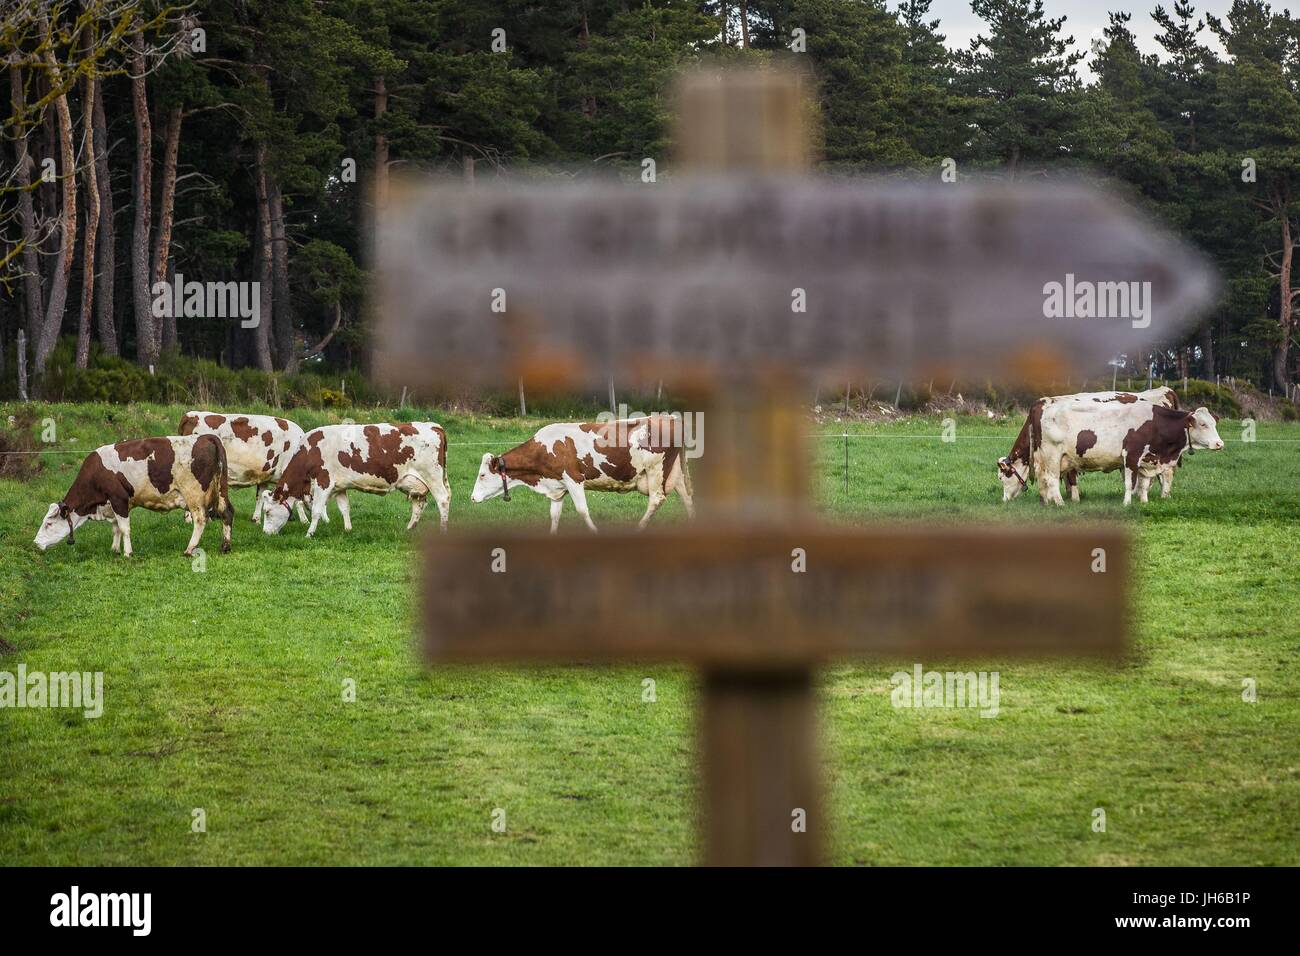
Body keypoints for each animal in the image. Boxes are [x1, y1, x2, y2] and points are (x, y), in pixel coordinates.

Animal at [33, 434, 233, 561]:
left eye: (48, 523)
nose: (35, 543)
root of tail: (206, 437)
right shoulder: (113, 504)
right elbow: (116, 528)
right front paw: (114, 549)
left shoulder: (118, 499)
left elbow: (124, 528)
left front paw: (128, 553)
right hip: (221, 490)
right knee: (227, 512)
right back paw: (225, 546)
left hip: (194, 495)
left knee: (200, 519)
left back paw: (189, 549)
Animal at [261, 421, 449, 535]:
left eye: (268, 512)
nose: (265, 533)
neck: (310, 452)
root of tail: (433, 426)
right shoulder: (340, 486)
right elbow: (344, 508)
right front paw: (348, 529)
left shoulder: (323, 482)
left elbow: (316, 510)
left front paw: (309, 533)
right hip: (416, 483)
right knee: (419, 504)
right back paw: (409, 528)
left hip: (432, 476)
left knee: (443, 500)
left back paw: (443, 529)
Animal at [465, 416, 691, 535]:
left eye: (482, 474)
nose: (472, 498)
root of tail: (669, 417)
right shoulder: (557, 486)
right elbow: (554, 515)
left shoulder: (573, 479)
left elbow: (582, 511)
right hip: (675, 472)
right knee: (687, 497)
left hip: (656, 470)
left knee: (656, 499)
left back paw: (639, 528)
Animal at [993, 387, 1180, 502]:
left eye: (1002, 477)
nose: (1004, 500)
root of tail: (1164, 390)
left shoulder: (1064, 455)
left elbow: (1069, 478)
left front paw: (1073, 498)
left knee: (1167, 472)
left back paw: (1165, 495)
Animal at [1034, 398, 1216, 509]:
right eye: (1202, 424)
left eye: (1214, 423)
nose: (1219, 443)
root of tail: (1047, 409)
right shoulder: (1131, 456)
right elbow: (1130, 484)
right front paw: (1127, 503)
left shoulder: (1147, 461)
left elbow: (1144, 484)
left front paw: (1144, 502)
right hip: (1053, 456)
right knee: (1052, 480)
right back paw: (1059, 503)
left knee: (1045, 480)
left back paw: (1048, 502)